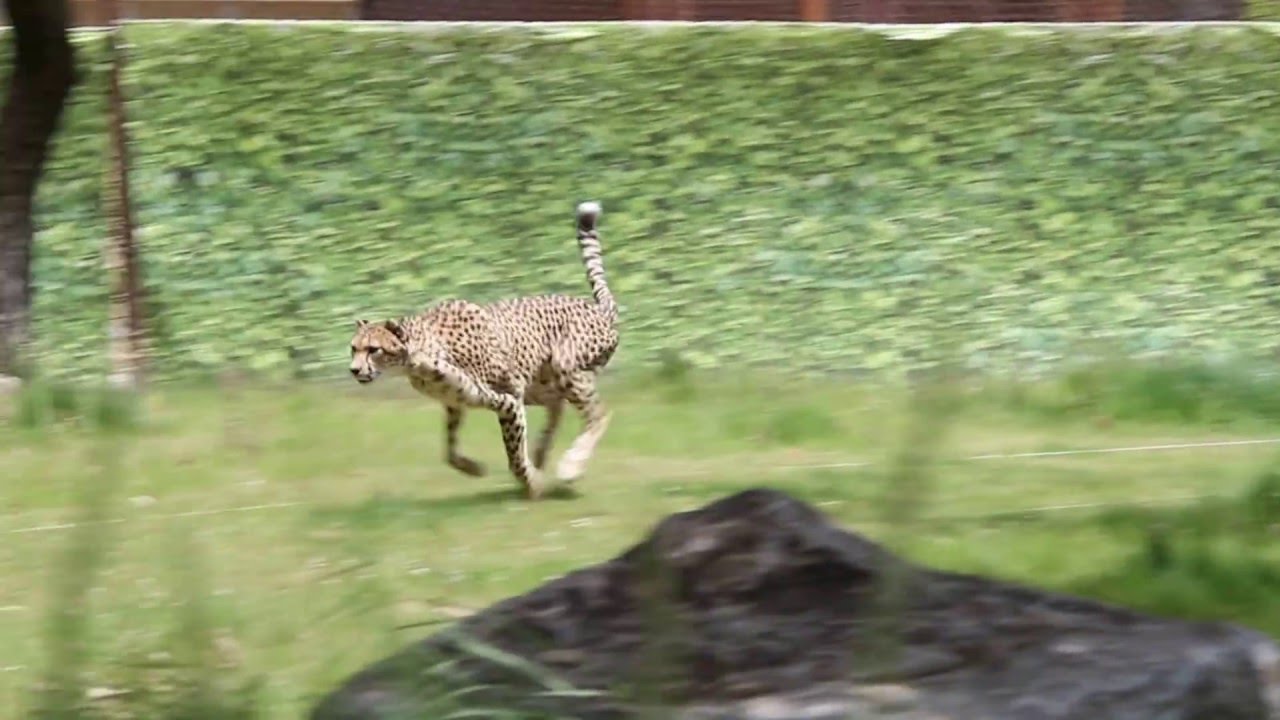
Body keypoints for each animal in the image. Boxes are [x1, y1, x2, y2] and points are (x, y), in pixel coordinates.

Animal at [347, 201, 619, 500]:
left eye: (373, 349)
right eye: (353, 348)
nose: (354, 370)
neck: (418, 359)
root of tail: (598, 309)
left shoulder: (507, 400)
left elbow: (514, 456)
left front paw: (532, 485)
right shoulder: (457, 403)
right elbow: (449, 451)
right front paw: (474, 468)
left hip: (564, 366)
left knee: (598, 415)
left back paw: (571, 466)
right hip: (538, 386)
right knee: (556, 407)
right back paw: (541, 453)